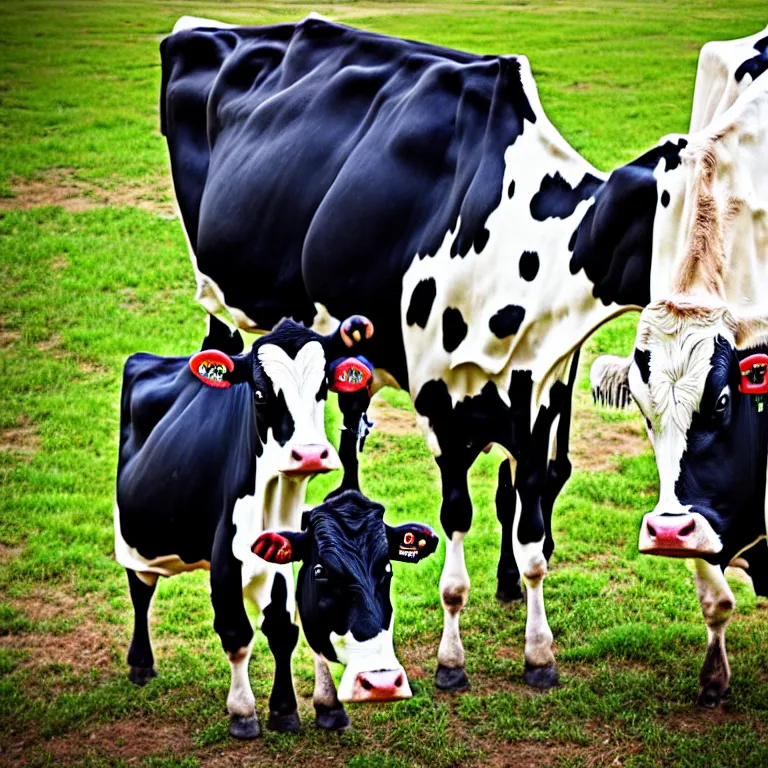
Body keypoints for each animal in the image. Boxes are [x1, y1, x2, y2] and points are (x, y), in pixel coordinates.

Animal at [115, 316, 438, 736]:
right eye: (261, 393)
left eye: (323, 387)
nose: (310, 454)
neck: (273, 496)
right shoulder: (225, 561)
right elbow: (236, 633)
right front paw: (243, 712)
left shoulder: (282, 557)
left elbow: (284, 629)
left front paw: (288, 710)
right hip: (134, 539)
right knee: (140, 589)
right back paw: (140, 663)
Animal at [160, 16, 708, 688]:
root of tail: (202, 27)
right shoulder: (444, 408)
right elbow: (455, 525)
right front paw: (451, 661)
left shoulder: (541, 399)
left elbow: (532, 525)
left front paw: (538, 650)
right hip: (218, 303)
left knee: (350, 426)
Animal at [588, 60, 768, 708]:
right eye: (643, 410)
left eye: (724, 398)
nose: (666, 529)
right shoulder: (704, 508)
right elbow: (714, 597)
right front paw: (713, 679)